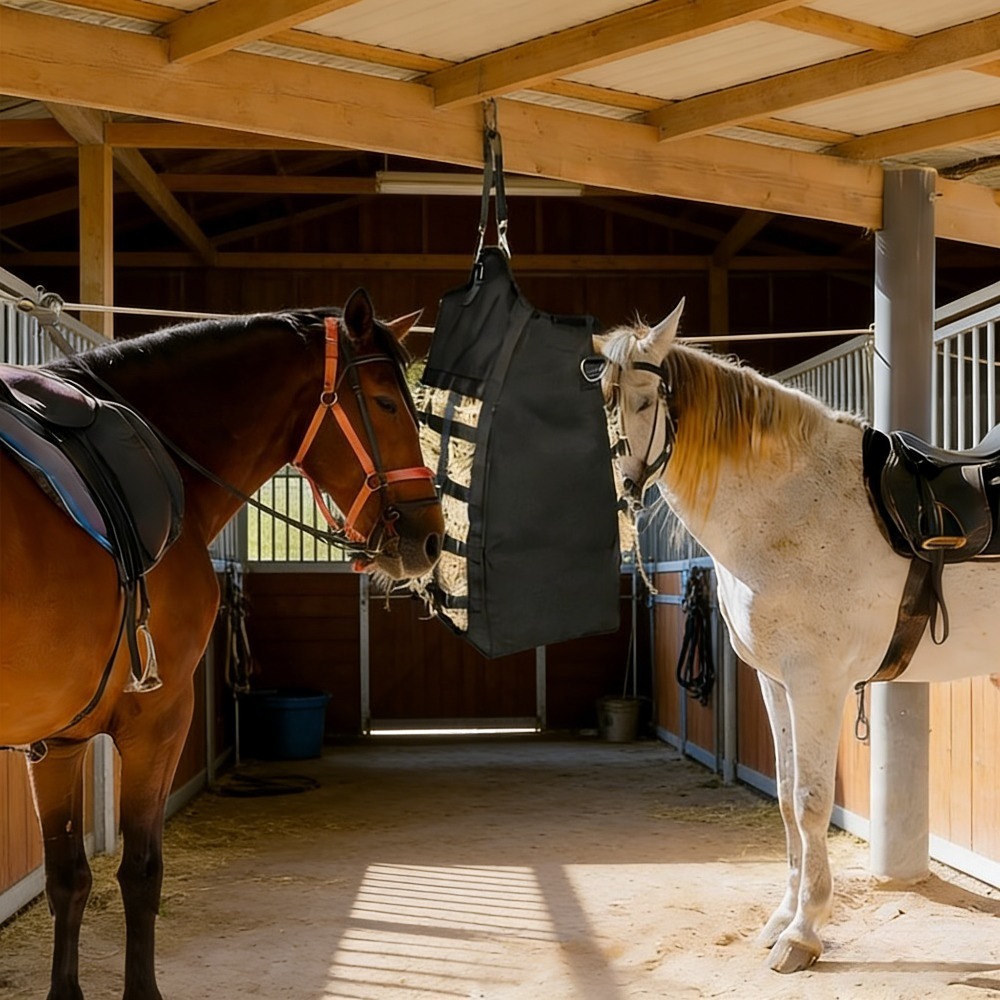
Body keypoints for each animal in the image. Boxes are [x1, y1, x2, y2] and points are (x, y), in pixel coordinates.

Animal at [0, 288, 444, 1000]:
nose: (429, 538)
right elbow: (140, 872)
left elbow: (68, 877)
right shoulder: (158, 717)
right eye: (384, 402)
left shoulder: (58, 739)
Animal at [594, 300, 998, 974]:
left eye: (648, 398)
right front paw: (781, 917)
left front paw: (804, 933)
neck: (791, 507)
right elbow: (785, 798)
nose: (622, 491)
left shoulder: (816, 684)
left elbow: (811, 802)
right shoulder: (774, 680)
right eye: (604, 399)